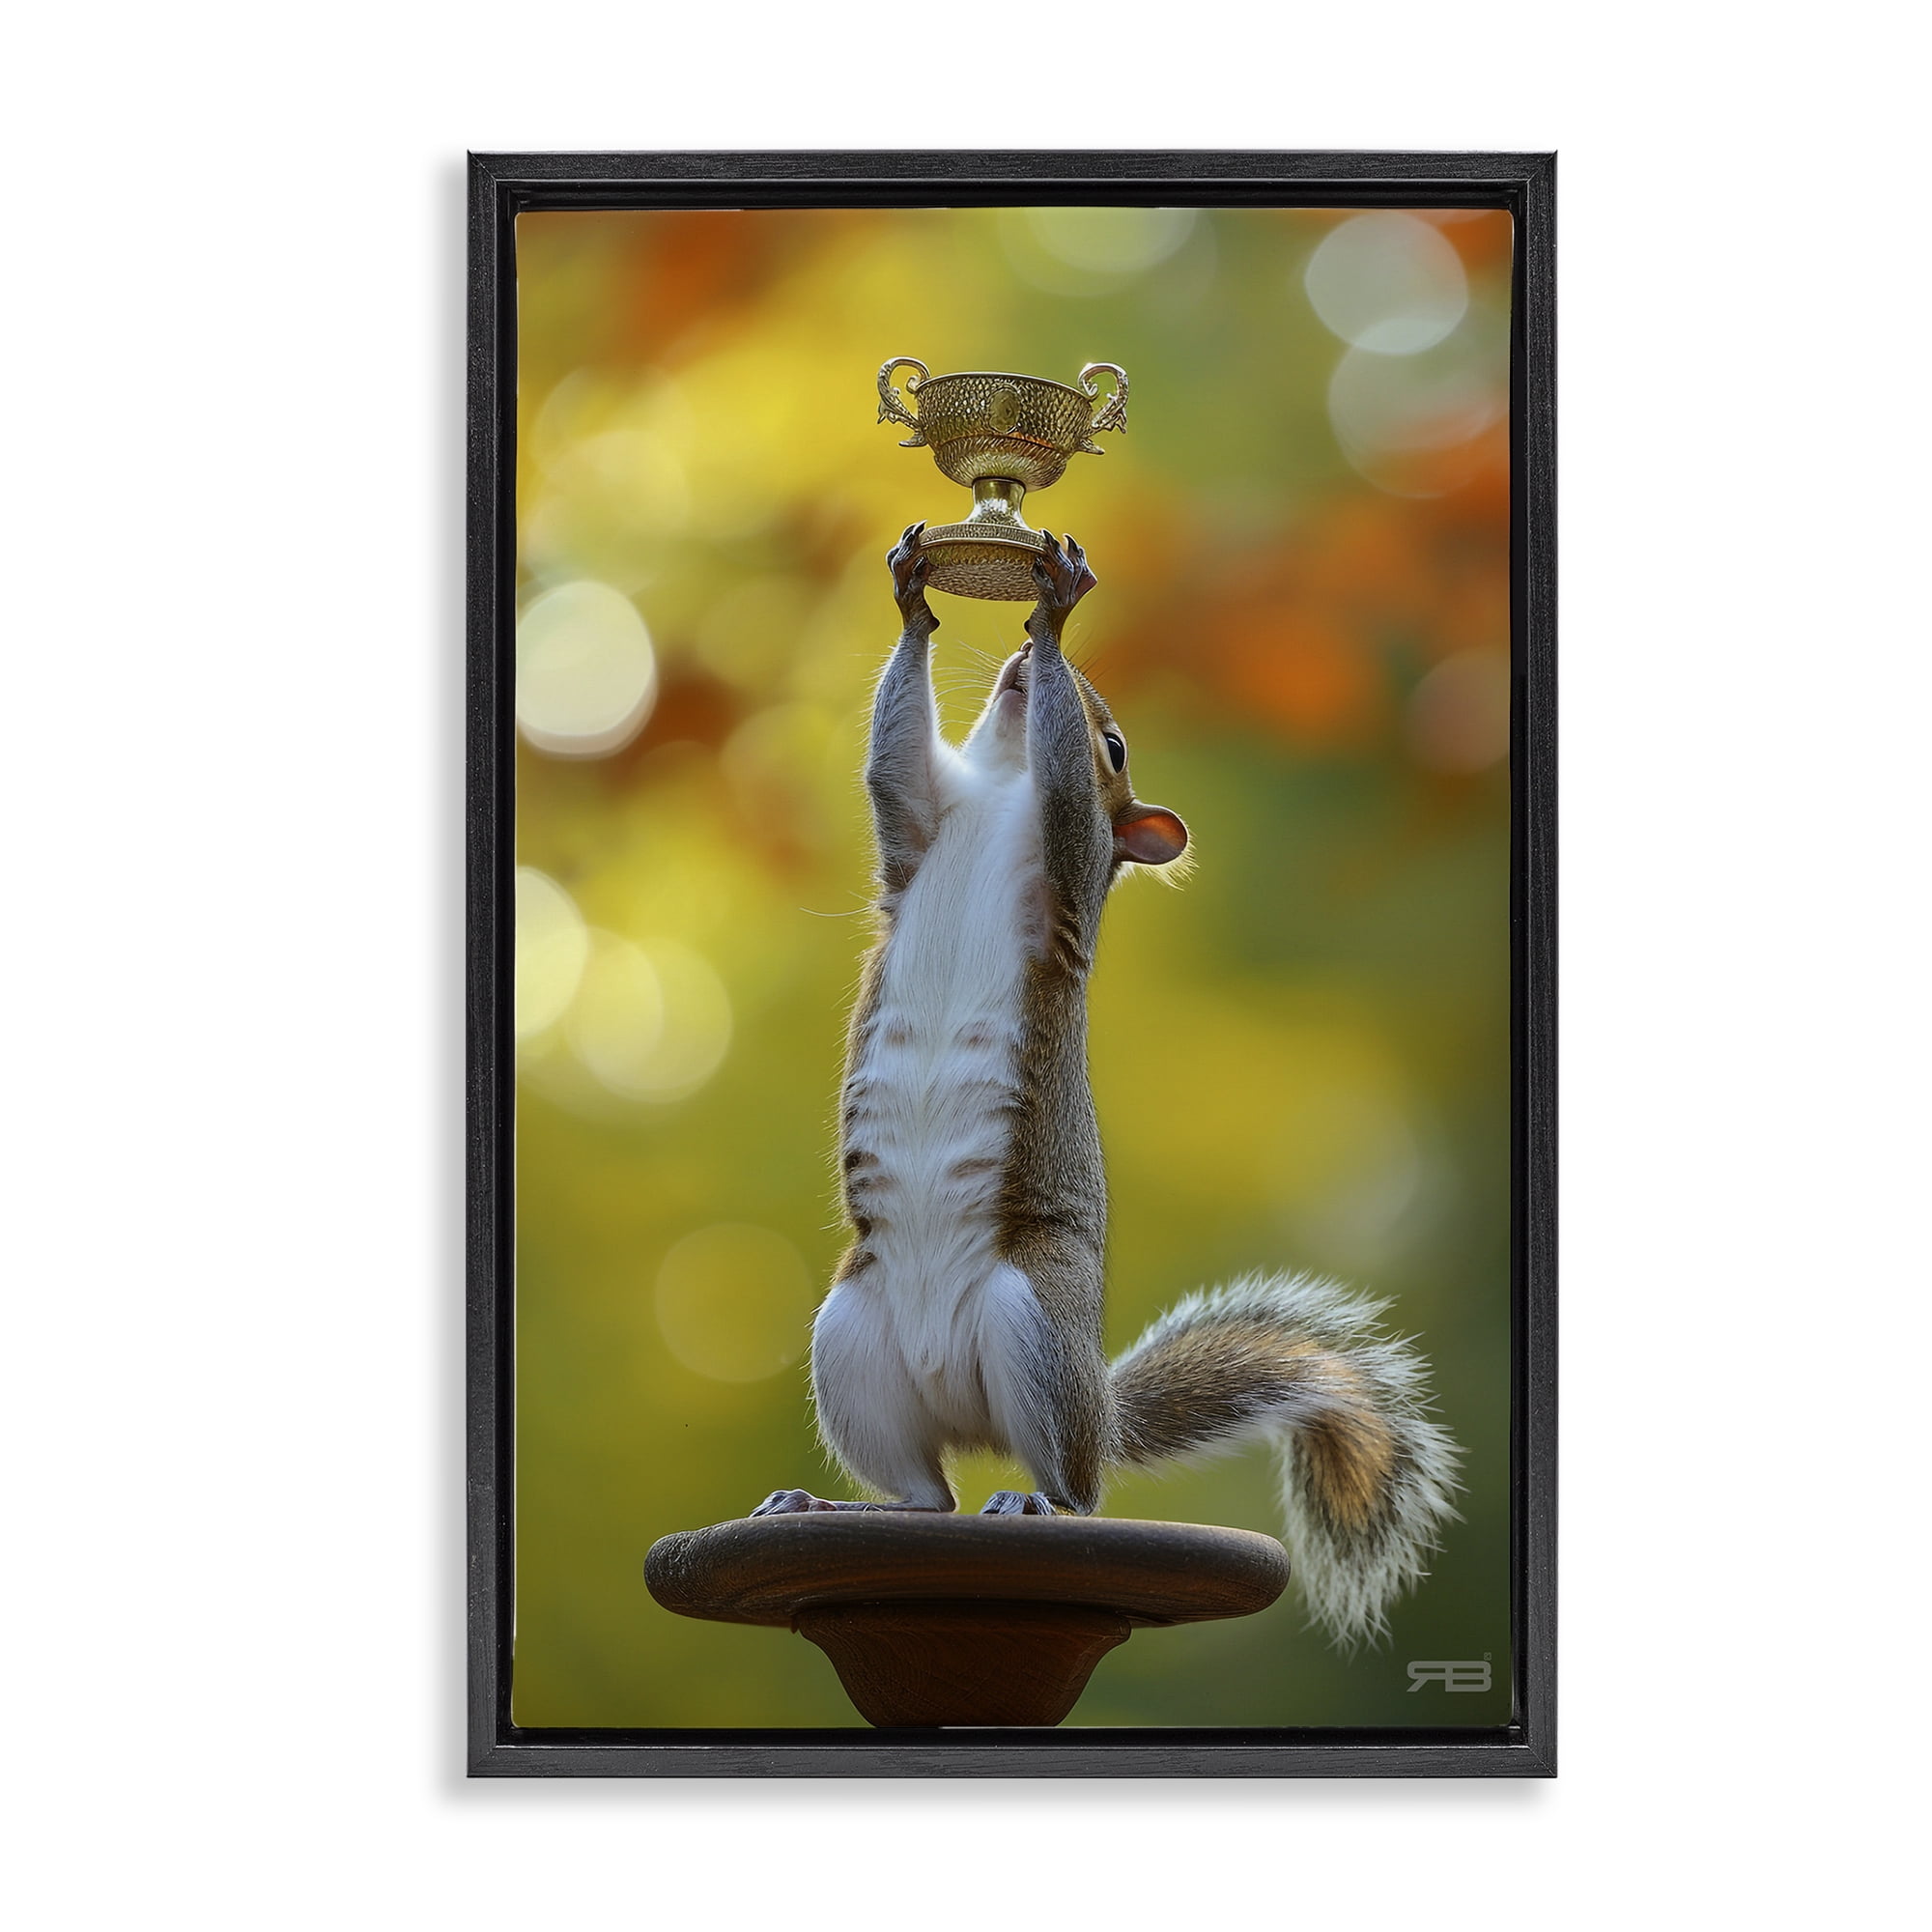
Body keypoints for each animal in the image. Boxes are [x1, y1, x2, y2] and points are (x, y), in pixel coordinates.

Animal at [752, 524, 1461, 1643]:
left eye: (1118, 747)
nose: (1019, 665)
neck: (997, 790)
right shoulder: (917, 826)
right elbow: (891, 762)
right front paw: (916, 600)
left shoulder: (1069, 853)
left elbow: (1062, 796)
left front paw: (1053, 614)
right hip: (851, 1342)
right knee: (926, 1498)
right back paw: (832, 1505)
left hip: (1032, 1321)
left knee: (1069, 1492)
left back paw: (1036, 1502)